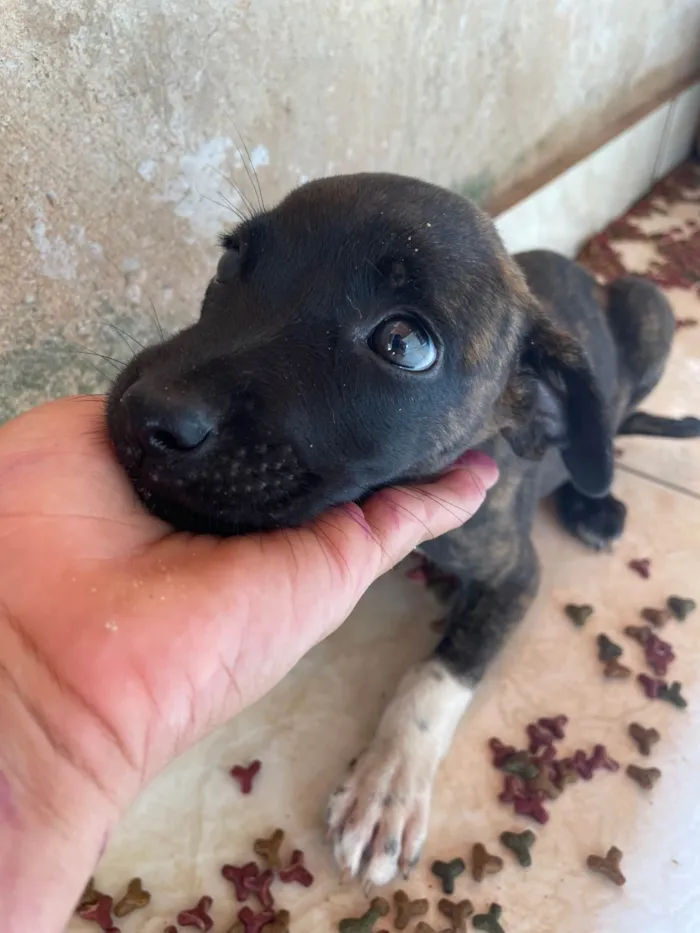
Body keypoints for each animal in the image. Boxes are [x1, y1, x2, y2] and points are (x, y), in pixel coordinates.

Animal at [105, 173, 700, 880]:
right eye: (230, 261)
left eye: (405, 344)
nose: (147, 414)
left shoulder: (514, 574)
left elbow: (437, 677)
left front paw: (388, 782)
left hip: (650, 308)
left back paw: (596, 502)